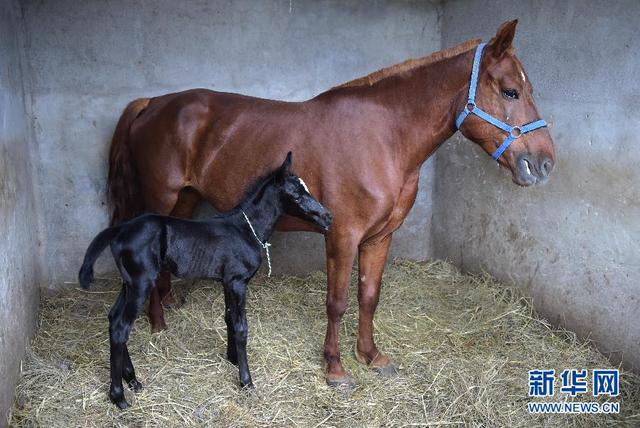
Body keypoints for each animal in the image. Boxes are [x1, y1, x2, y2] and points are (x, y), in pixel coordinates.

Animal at [77, 153, 332, 408]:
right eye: (296, 195)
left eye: (306, 188)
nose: (328, 216)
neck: (245, 229)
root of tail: (120, 230)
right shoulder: (238, 282)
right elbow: (241, 327)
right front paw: (246, 381)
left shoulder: (227, 282)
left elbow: (229, 318)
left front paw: (232, 359)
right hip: (141, 285)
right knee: (121, 327)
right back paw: (119, 396)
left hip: (128, 284)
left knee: (113, 319)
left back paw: (132, 380)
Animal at [106, 20, 556, 386]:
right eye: (511, 91)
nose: (543, 163)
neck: (384, 136)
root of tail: (153, 104)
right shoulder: (342, 235)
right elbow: (337, 302)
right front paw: (335, 369)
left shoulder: (379, 238)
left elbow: (369, 296)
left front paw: (371, 356)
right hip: (161, 198)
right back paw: (157, 324)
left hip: (184, 200)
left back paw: (166, 309)